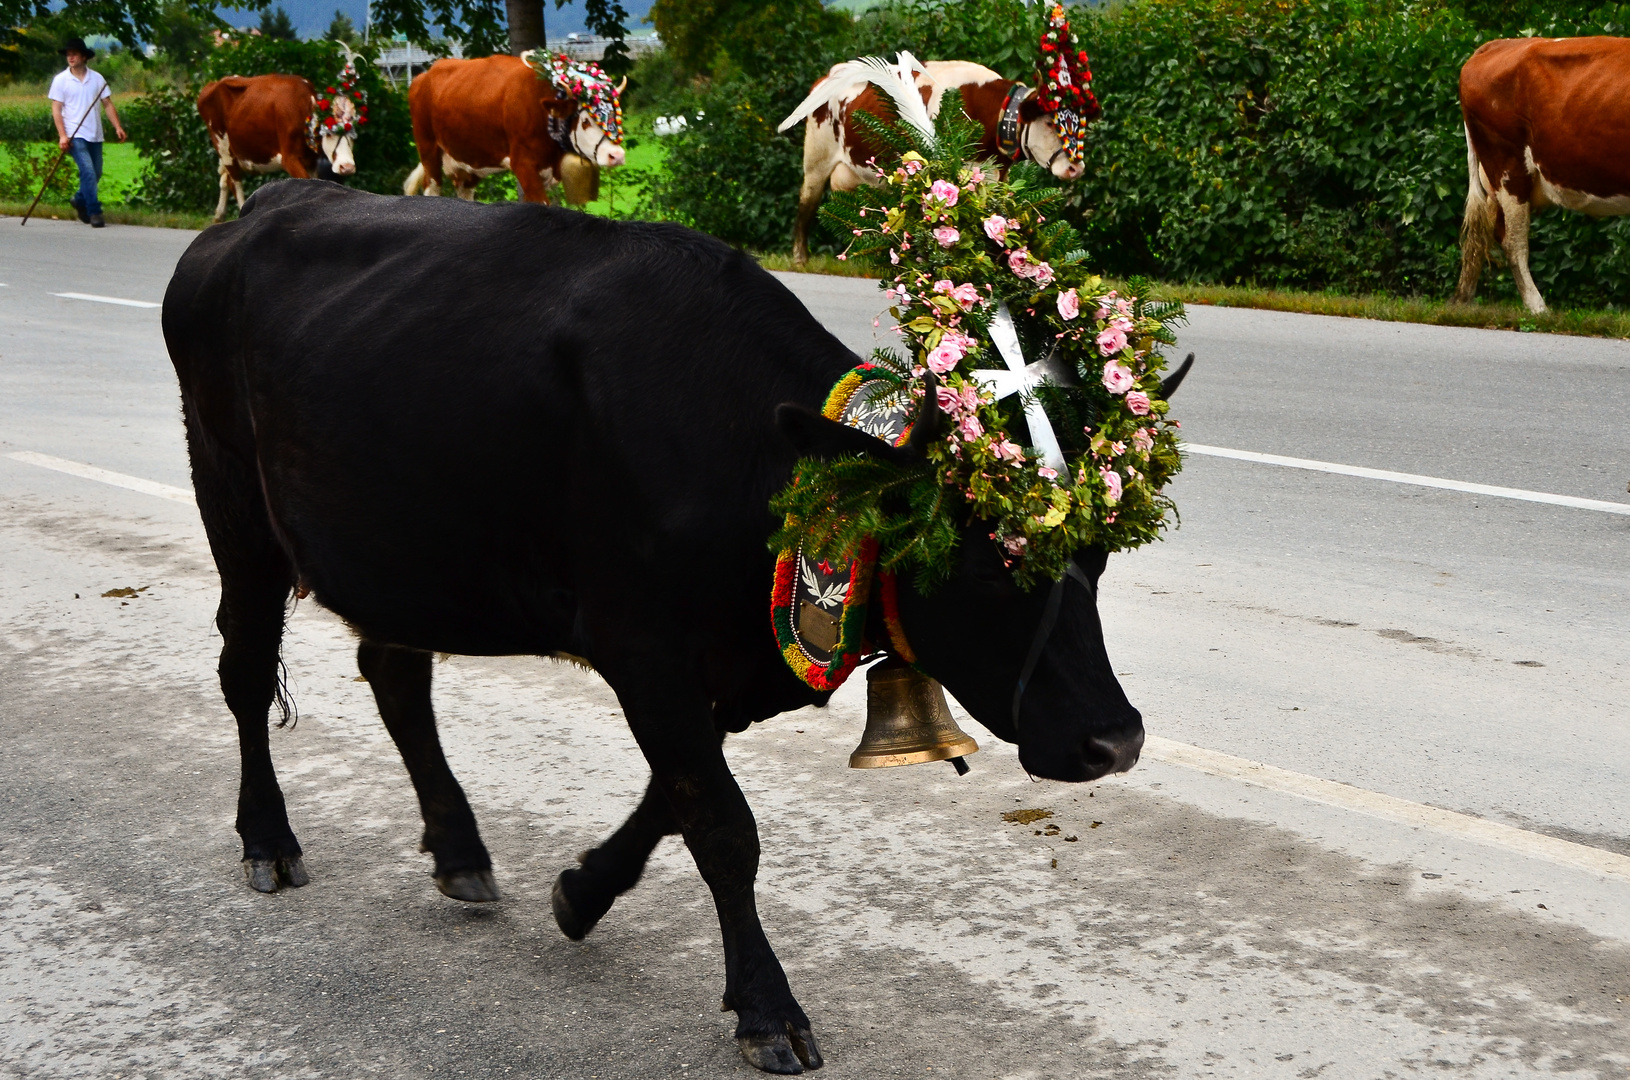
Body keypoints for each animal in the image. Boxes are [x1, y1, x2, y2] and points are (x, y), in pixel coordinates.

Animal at [165, 181, 1154, 1075]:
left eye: (1103, 554)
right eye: (989, 565)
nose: (1115, 740)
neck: (741, 453)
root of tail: (263, 205)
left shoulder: (721, 662)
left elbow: (673, 803)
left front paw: (581, 892)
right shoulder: (641, 646)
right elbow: (721, 824)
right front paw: (767, 1010)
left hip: (404, 557)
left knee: (396, 675)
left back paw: (459, 850)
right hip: (236, 512)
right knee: (245, 674)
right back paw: (269, 843)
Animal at [197, 74, 356, 223]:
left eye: (353, 135)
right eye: (328, 133)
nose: (347, 167)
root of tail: (214, 83)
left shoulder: (311, 161)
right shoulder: (290, 158)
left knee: (226, 179)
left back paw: (219, 216)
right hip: (223, 146)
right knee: (235, 182)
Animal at [400, 52, 622, 205]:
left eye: (616, 114)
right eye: (585, 121)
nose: (617, 155)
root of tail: (425, 75)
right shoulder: (523, 163)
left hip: (467, 159)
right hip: (428, 148)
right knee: (432, 188)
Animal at [779, 57, 1088, 265]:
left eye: (1079, 124)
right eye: (1049, 122)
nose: (1076, 168)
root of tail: (830, 75)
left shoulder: (995, 176)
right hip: (816, 158)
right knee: (807, 204)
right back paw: (800, 258)